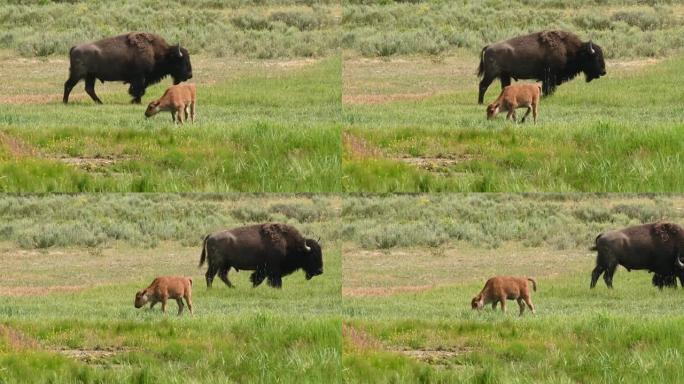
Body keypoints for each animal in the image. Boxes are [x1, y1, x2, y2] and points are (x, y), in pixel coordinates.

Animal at [62, 32, 192, 104]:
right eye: (182, 61)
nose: (190, 75)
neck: (157, 52)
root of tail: (75, 47)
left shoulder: (142, 79)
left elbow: (140, 90)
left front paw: (135, 101)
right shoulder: (139, 77)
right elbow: (138, 90)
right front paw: (136, 101)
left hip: (90, 76)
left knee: (89, 89)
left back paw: (100, 103)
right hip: (77, 74)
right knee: (68, 85)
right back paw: (65, 102)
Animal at [478, 30, 608, 103]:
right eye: (596, 57)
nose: (603, 71)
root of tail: (489, 47)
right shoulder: (549, 76)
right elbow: (548, 89)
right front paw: (546, 98)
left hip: (505, 75)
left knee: (504, 87)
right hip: (491, 74)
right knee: (483, 85)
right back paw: (480, 102)